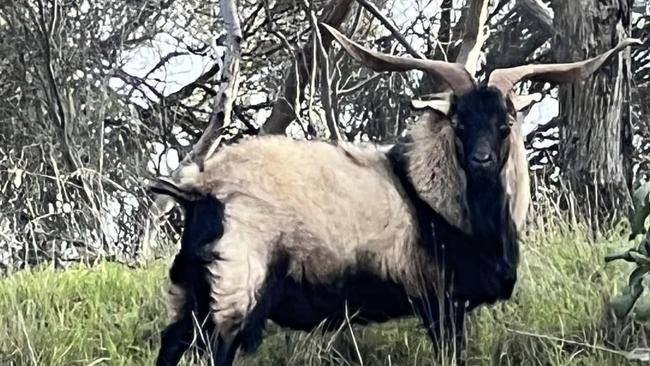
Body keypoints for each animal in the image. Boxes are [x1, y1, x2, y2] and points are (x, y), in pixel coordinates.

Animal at [148, 23, 636, 366]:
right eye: (459, 122)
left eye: (506, 122)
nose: (481, 161)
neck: (427, 195)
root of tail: (201, 189)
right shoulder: (440, 302)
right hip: (234, 292)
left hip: (189, 296)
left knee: (170, 345)